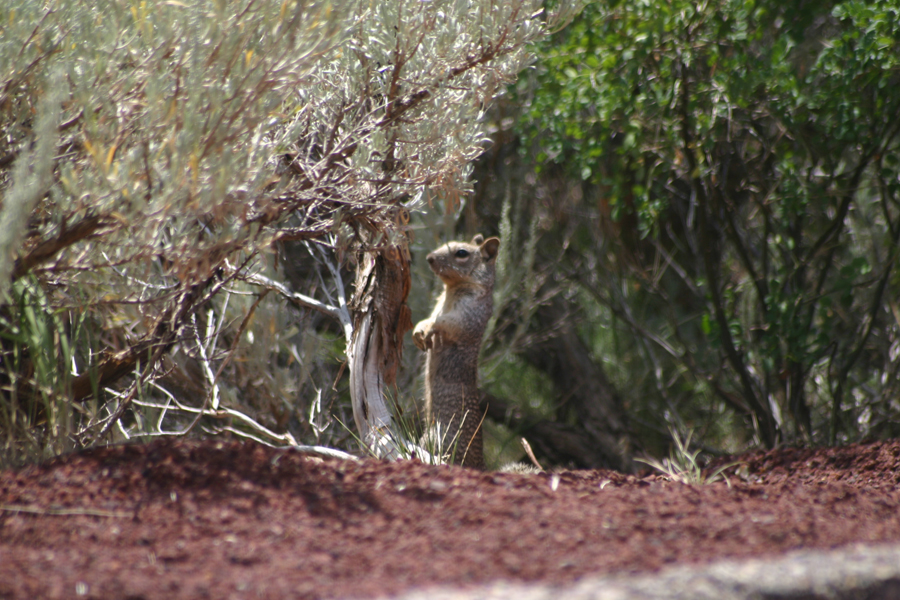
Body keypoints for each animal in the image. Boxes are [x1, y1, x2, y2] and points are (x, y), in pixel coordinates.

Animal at [413, 234, 500, 469]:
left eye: (462, 253)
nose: (429, 258)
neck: (451, 289)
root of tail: (480, 465)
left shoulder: (467, 315)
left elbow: (444, 322)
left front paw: (428, 328)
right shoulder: (438, 303)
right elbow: (431, 316)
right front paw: (419, 331)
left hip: (437, 437)